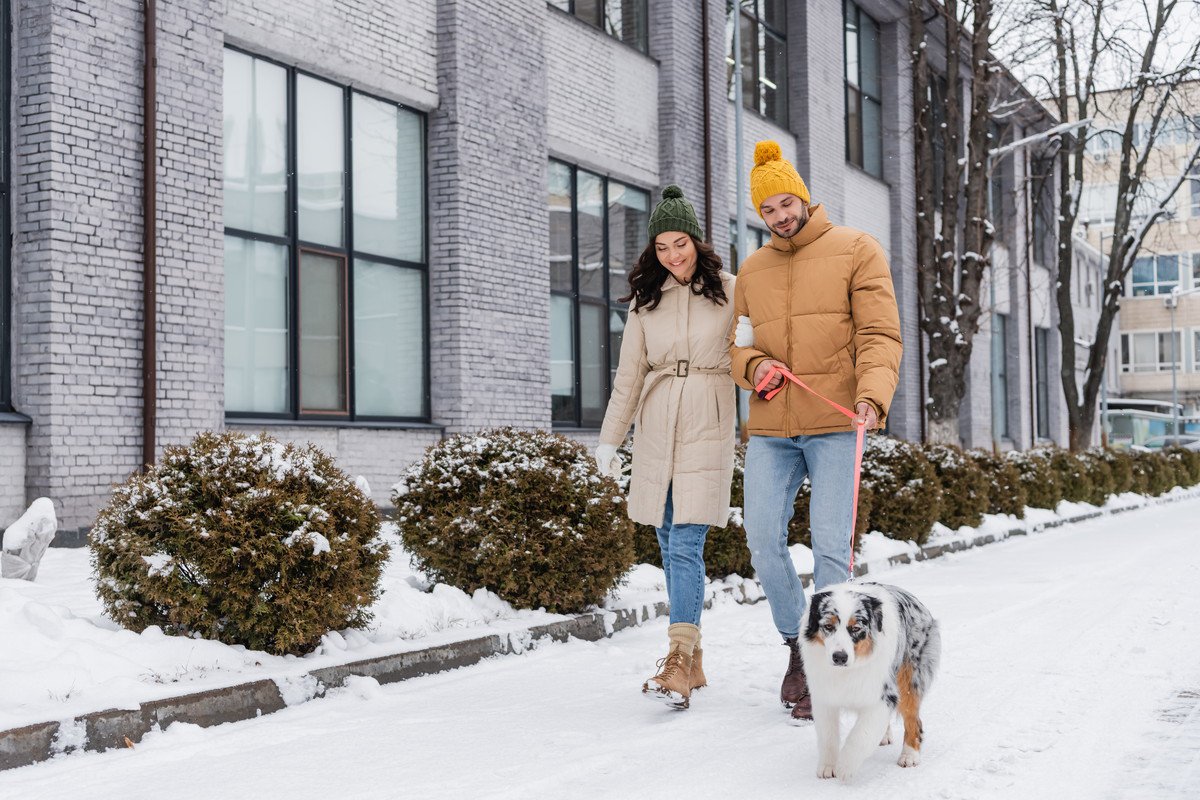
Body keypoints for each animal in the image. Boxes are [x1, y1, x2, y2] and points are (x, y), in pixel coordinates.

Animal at [801, 582, 940, 782]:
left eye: (856, 628)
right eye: (828, 626)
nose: (839, 657)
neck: (848, 670)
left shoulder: (883, 694)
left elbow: (861, 735)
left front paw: (845, 766)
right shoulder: (824, 694)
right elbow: (827, 735)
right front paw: (828, 766)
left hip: (909, 679)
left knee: (914, 720)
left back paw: (909, 755)